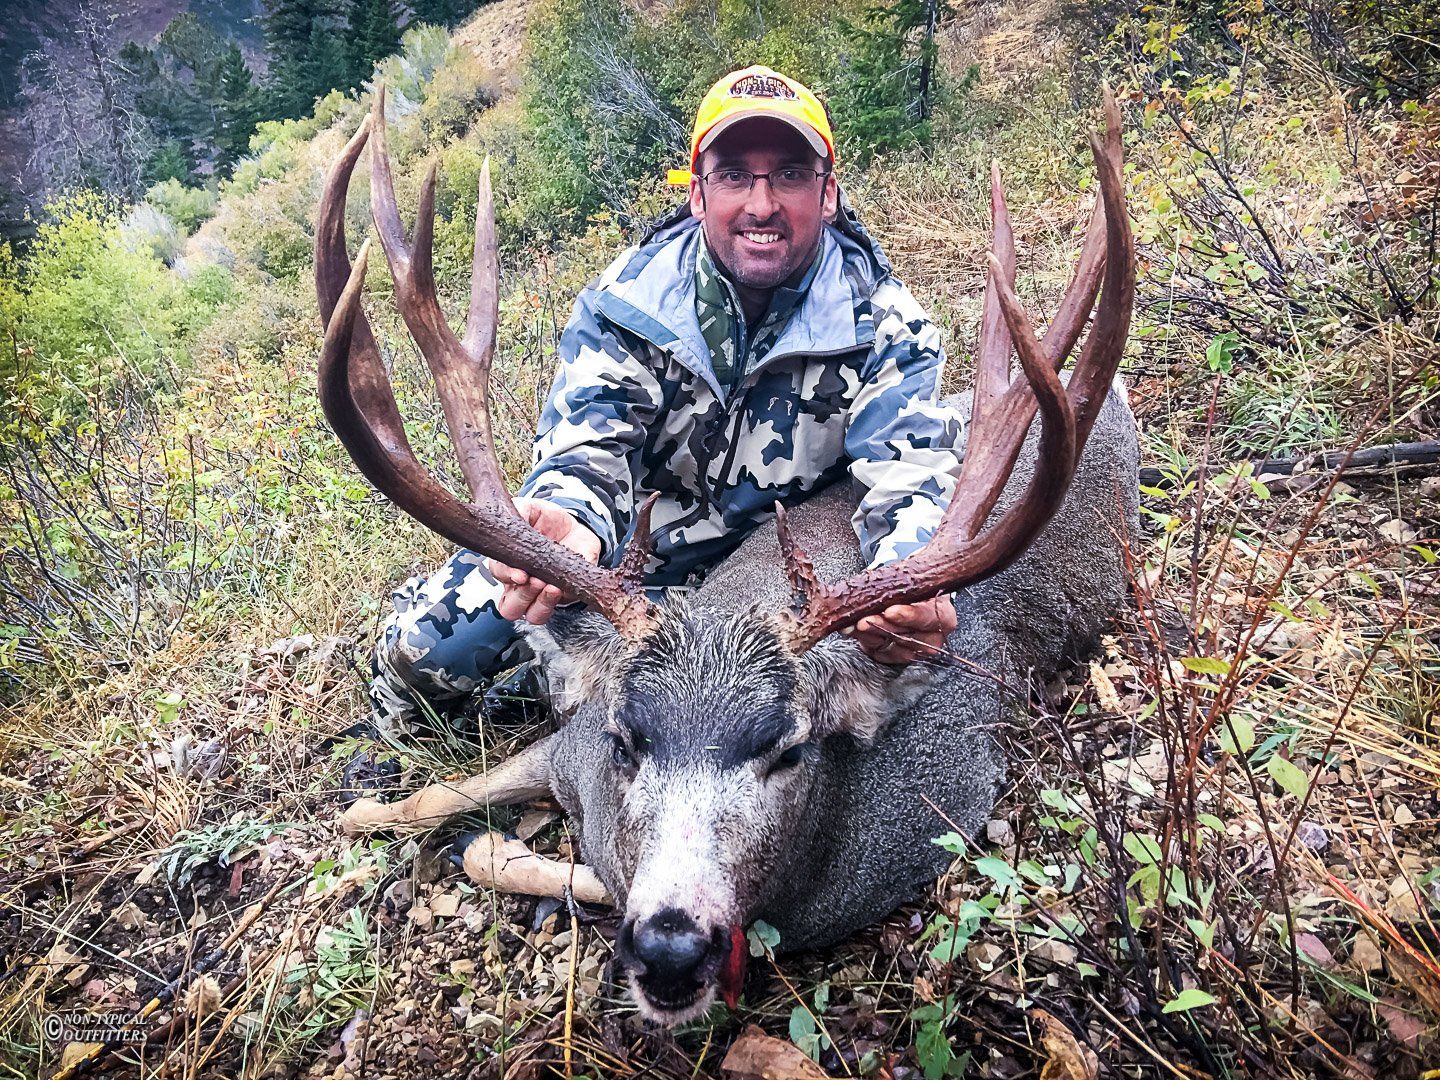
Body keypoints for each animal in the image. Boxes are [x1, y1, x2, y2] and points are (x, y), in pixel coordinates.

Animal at [314, 90, 1137, 1025]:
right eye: (625, 740)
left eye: (787, 749)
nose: (671, 949)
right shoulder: (562, 750)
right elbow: (425, 802)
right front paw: (361, 810)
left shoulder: (934, 819)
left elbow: (532, 860)